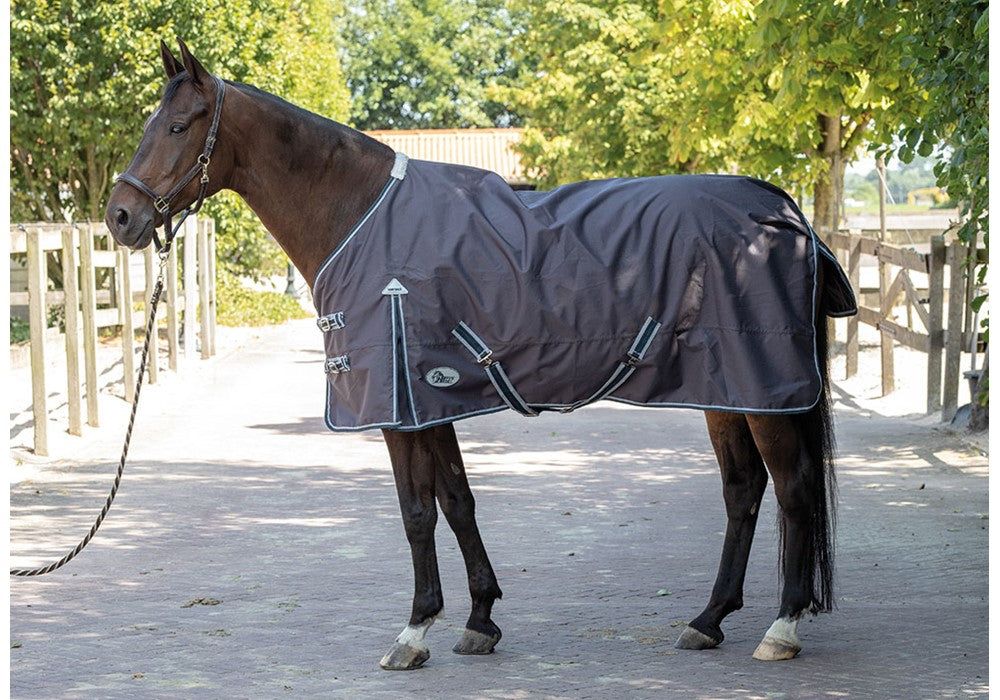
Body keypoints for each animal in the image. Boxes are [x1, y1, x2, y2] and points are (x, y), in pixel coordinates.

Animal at [105, 40, 856, 670]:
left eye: (180, 125)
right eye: (149, 123)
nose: (120, 217)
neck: (360, 216)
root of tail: (782, 209)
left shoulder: (396, 404)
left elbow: (416, 512)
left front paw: (413, 631)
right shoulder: (429, 399)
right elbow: (458, 502)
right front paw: (479, 620)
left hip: (765, 391)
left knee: (792, 489)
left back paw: (781, 628)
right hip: (724, 390)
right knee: (743, 490)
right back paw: (708, 620)